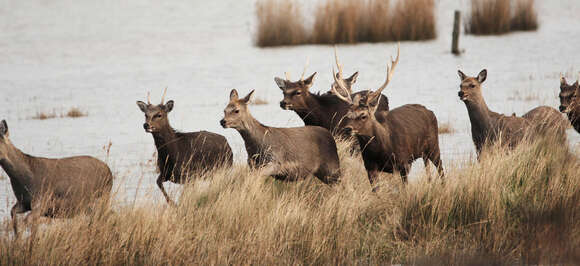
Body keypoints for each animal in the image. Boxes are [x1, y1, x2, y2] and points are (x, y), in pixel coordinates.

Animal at [330, 44, 444, 186]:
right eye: (348, 115)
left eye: (363, 115)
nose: (347, 129)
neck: (382, 148)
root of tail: (429, 111)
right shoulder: (370, 167)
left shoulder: (404, 163)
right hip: (424, 153)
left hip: (434, 146)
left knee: (441, 170)